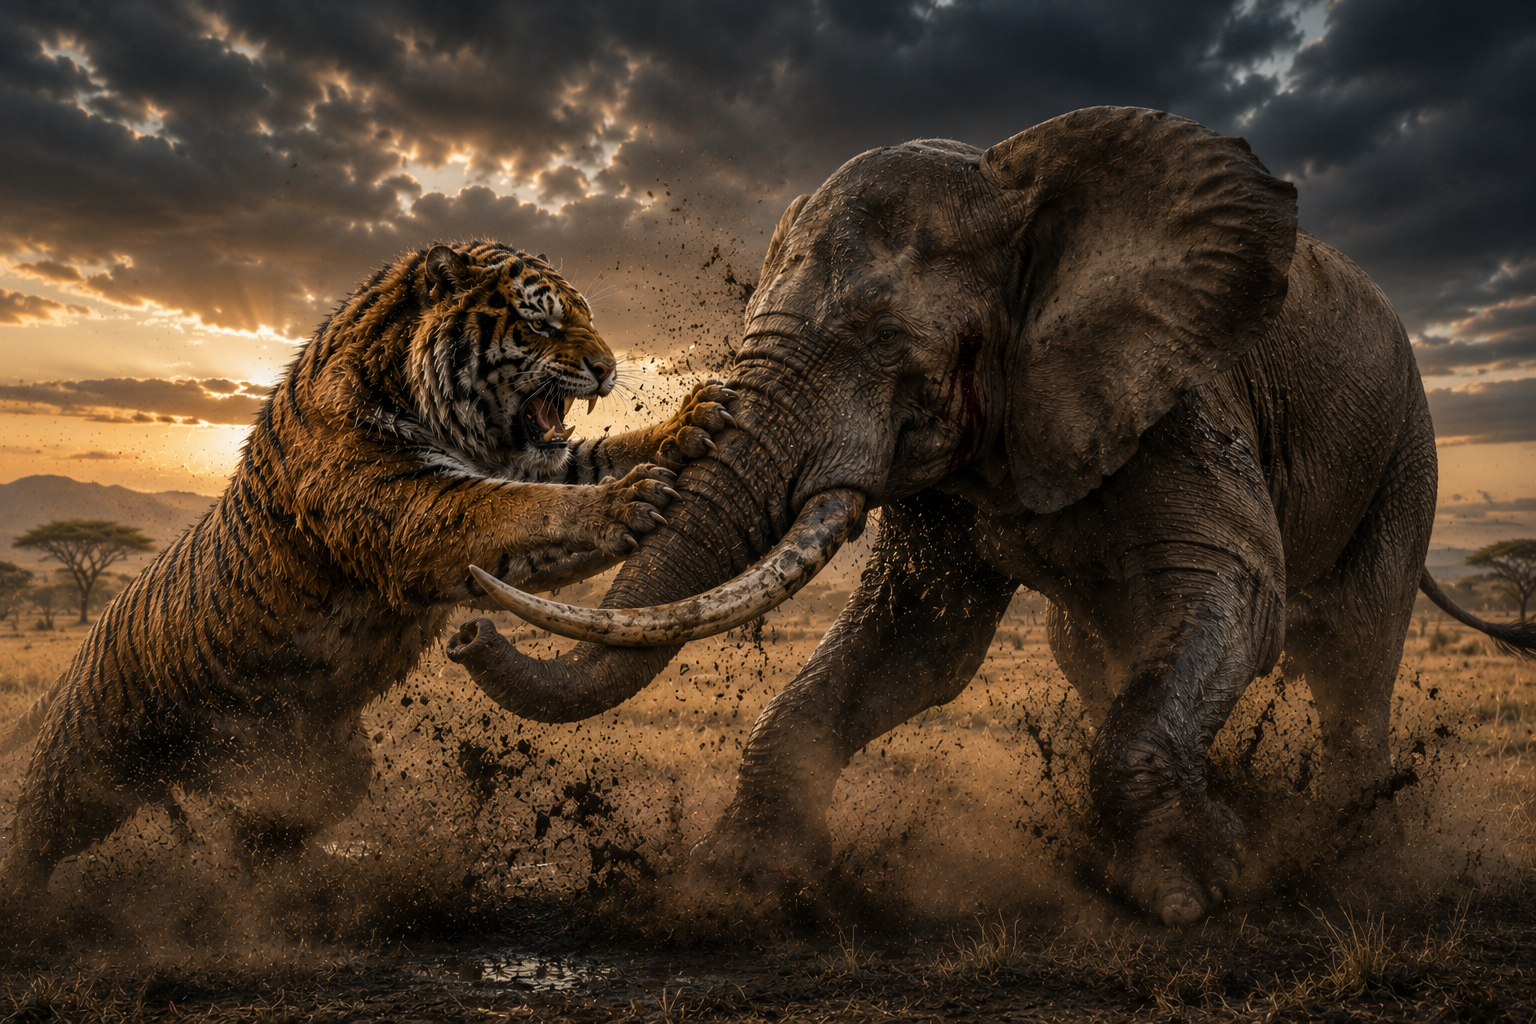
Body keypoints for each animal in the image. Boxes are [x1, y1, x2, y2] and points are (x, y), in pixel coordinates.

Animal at [0, 240, 732, 895]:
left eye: (586, 316)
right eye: (540, 322)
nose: (608, 368)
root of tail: (84, 647)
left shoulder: (524, 475)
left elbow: (591, 458)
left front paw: (690, 420)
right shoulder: (412, 508)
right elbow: (520, 506)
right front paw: (625, 500)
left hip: (324, 774)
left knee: (252, 841)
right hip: (85, 775)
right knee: (32, 839)